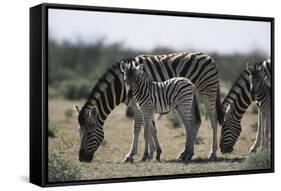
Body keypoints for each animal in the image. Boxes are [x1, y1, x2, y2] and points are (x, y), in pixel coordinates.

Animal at [74, 52, 221, 163]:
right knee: (194, 122)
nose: (82, 158)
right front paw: (154, 153)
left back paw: (212, 153)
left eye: (89, 133)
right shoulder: (144, 105)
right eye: (79, 132)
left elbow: (138, 129)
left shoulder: (139, 106)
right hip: (187, 101)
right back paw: (186, 154)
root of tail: (208, 56)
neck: (121, 86)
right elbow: (151, 128)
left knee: (213, 120)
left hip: (208, 92)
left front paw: (131, 155)